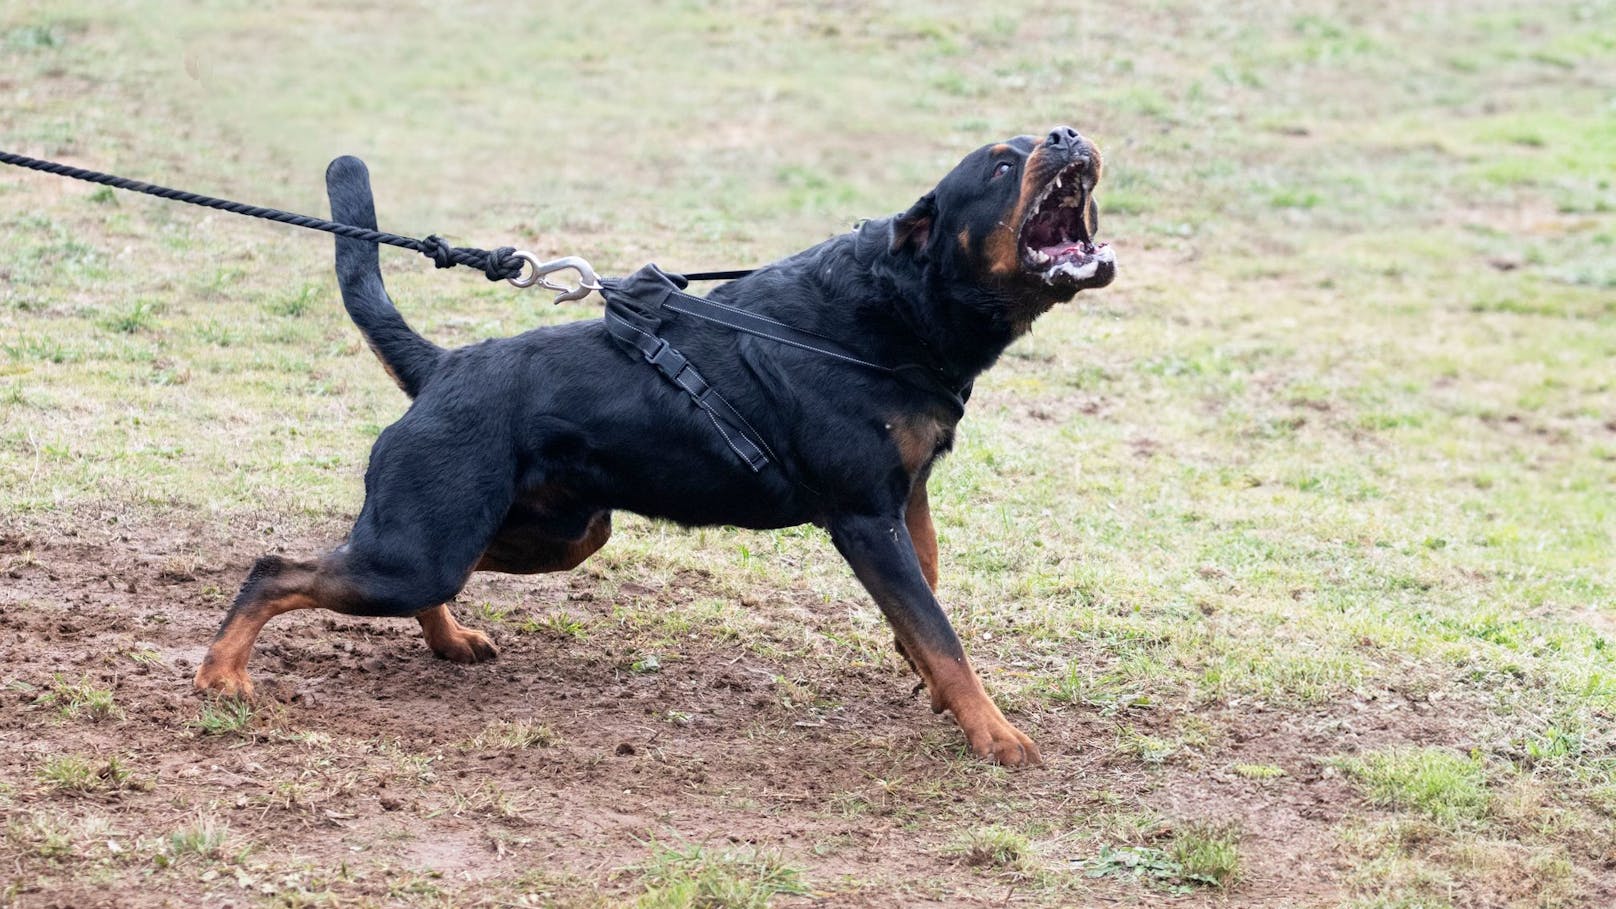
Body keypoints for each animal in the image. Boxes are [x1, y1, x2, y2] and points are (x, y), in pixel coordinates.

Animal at [195, 125, 1111, 763]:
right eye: (1001, 165)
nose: (1068, 134)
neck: (897, 308)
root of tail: (444, 365)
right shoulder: (862, 516)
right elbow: (941, 630)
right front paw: (995, 735)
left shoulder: (906, 493)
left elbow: (929, 595)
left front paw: (929, 684)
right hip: (427, 545)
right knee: (276, 567)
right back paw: (221, 675)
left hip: (549, 531)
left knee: (413, 575)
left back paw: (450, 639)